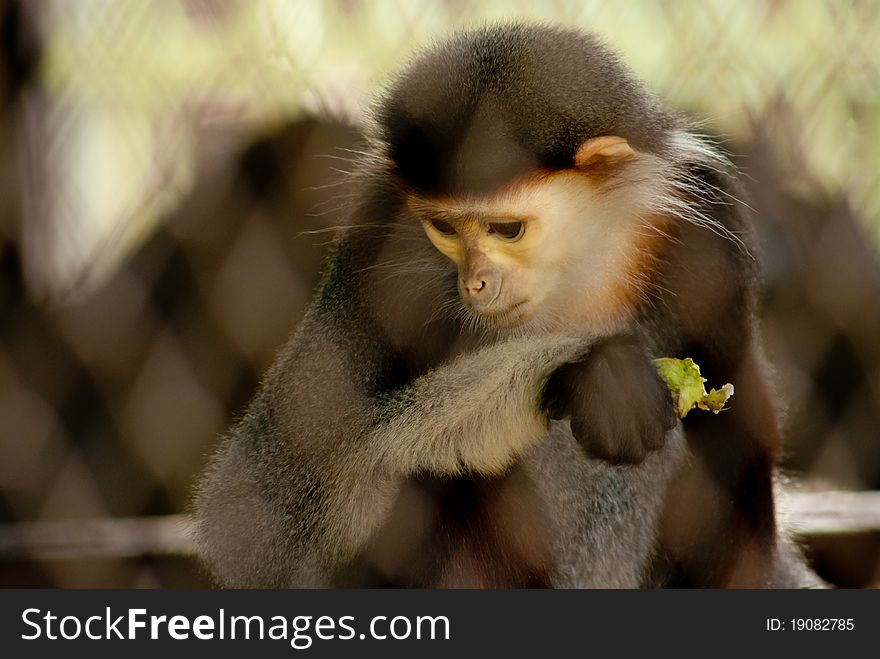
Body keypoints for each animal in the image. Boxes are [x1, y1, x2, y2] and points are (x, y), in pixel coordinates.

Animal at [192, 23, 820, 592]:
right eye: (445, 228)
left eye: (506, 229)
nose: (475, 282)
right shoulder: (379, 238)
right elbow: (252, 516)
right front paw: (577, 369)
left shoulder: (706, 224)